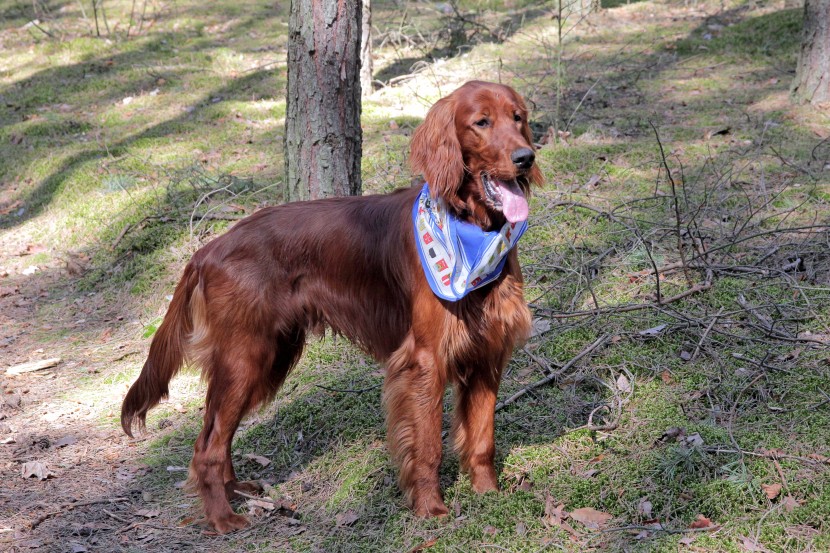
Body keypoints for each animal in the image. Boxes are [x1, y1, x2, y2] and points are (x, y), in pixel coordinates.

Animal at [120, 80, 544, 532]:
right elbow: (428, 444)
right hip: (245, 356)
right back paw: (223, 518)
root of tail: (208, 250)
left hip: (268, 357)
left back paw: (236, 491)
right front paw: (431, 509)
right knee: (207, 446)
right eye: (481, 122)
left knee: (219, 433)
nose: (525, 158)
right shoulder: (425, 361)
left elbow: (482, 438)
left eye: (517, 117)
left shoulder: (488, 352)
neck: (470, 230)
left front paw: (489, 494)